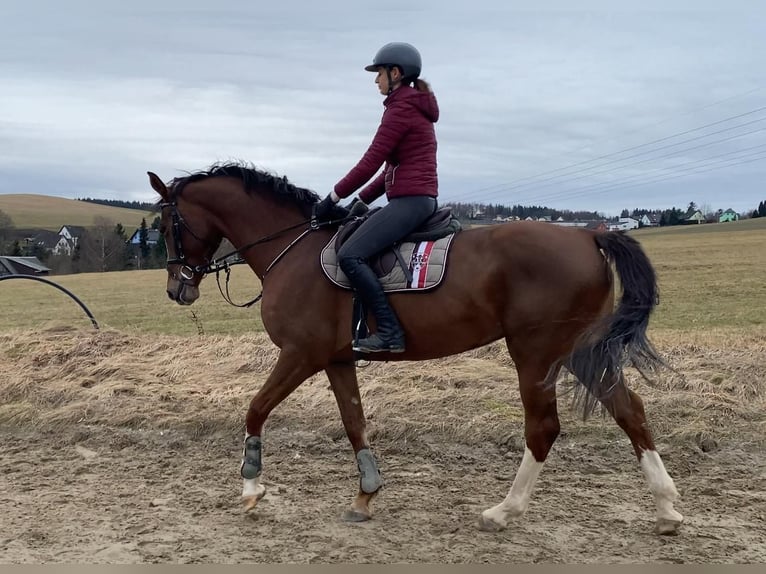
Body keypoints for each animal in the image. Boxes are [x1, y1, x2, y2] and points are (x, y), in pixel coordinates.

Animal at [147, 162, 688, 536]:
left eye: (168, 226)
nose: (176, 288)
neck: (293, 249)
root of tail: (590, 235)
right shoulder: (337, 360)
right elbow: (354, 422)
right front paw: (366, 496)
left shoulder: (300, 355)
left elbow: (256, 409)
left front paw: (251, 486)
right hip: (576, 352)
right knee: (630, 410)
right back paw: (666, 508)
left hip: (537, 354)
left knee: (544, 427)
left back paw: (503, 511)